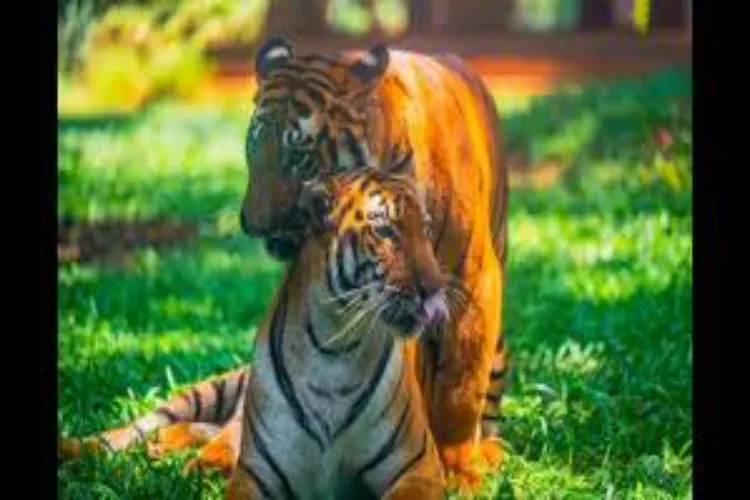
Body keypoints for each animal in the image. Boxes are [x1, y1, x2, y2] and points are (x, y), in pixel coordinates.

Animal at [239, 36, 510, 490]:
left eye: (299, 157)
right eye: (252, 150)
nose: (252, 225)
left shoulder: (470, 280)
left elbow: (460, 386)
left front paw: (458, 472)